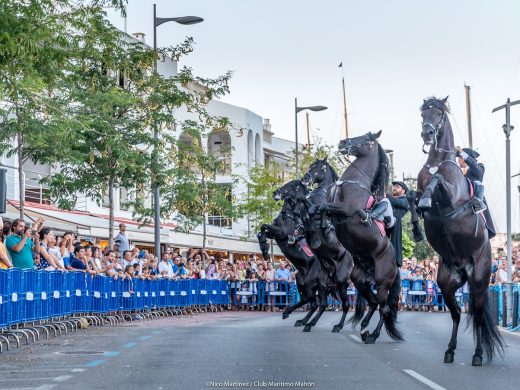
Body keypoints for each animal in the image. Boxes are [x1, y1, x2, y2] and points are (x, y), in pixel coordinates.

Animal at [258, 181, 332, 332]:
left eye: (291, 185)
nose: (275, 193)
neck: (289, 215)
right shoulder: (275, 234)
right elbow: (262, 230)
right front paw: (264, 249)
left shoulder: (282, 233)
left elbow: (264, 226)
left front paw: (265, 248)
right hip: (301, 281)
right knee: (309, 301)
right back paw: (294, 316)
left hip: (318, 285)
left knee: (320, 304)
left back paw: (307, 323)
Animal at [300, 158, 354, 332]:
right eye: (311, 165)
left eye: (319, 168)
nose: (305, 179)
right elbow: (304, 207)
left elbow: (313, 212)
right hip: (324, 283)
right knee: (322, 304)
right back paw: (308, 324)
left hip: (342, 283)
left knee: (345, 305)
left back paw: (338, 326)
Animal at [414, 97, 504, 366]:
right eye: (423, 114)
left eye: (439, 114)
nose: (427, 133)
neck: (437, 163)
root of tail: (464, 269)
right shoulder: (417, 190)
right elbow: (413, 196)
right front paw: (415, 225)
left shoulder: (450, 194)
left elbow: (437, 183)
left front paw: (427, 199)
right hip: (446, 284)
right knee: (455, 314)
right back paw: (450, 350)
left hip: (479, 281)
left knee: (477, 315)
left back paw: (477, 355)